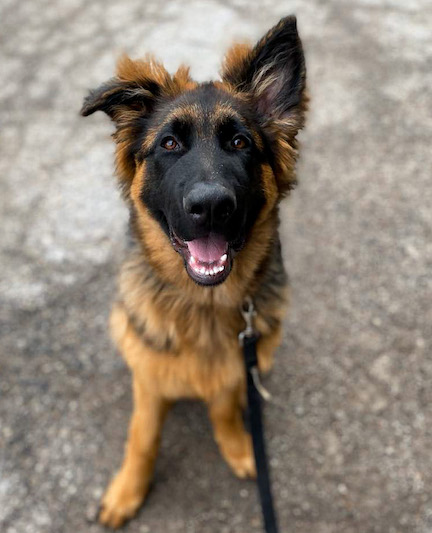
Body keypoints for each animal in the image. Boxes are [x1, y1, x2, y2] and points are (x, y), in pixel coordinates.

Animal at [81, 15, 308, 528]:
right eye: (169, 143)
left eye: (240, 143)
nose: (210, 207)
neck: (203, 303)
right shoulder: (149, 378)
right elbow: (143, 436)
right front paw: (127, 491)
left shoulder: (231, 366)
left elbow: (223, 408)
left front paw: (240, 448)